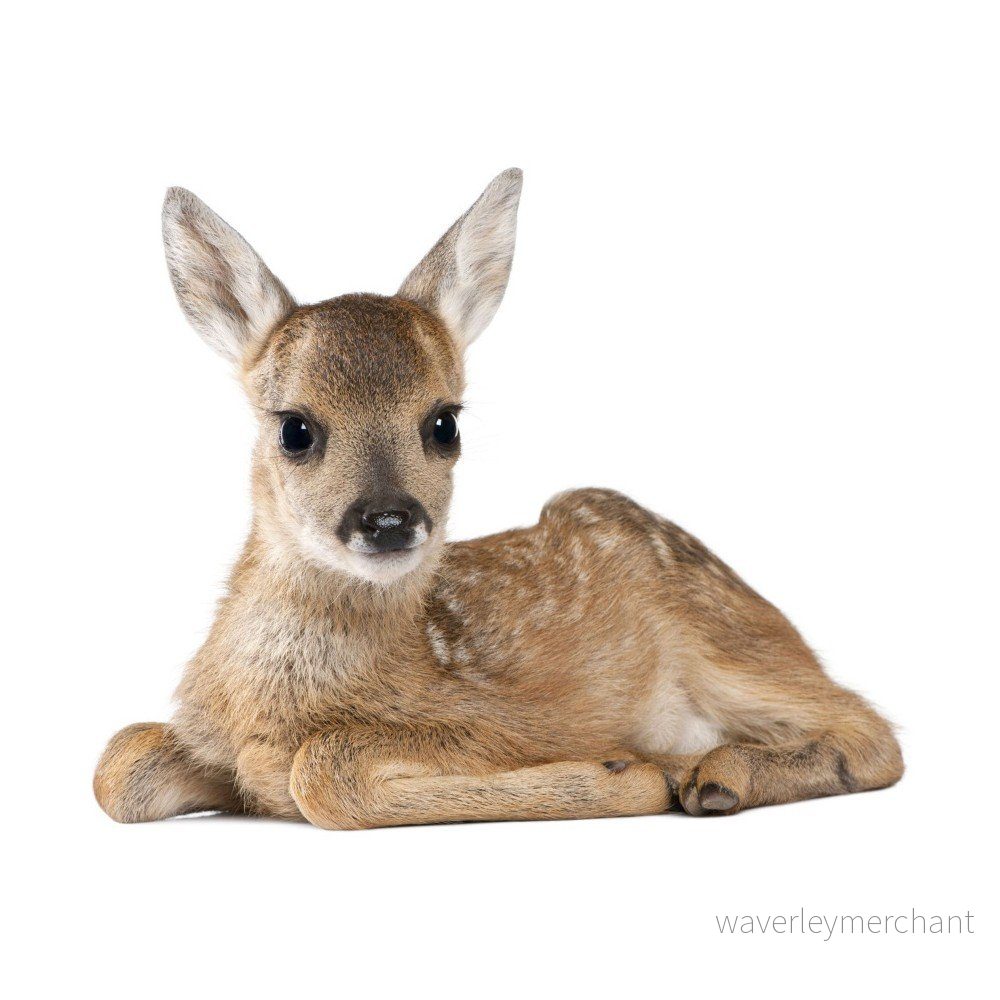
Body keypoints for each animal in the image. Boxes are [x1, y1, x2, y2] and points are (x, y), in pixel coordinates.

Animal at [93, 169, 904, 830]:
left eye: (443, 422)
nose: (389, 520)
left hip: (722, 638)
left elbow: (324, 771)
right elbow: (118, 764)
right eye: (295, 428)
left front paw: (627, 773)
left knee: (871, 731)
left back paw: (712, 775)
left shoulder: (504, 719)